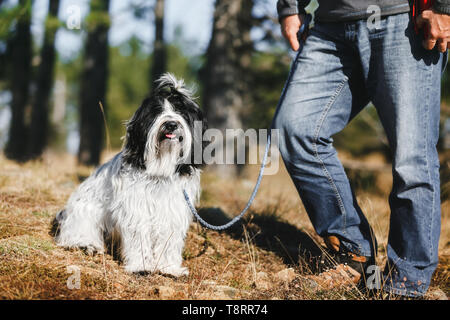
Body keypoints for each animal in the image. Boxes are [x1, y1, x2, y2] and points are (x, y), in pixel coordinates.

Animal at [54, 73, 207, 278]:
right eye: (156, 112)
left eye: (181, 112)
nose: (171, 124)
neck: (159, 171)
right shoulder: (137, 210)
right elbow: (138, 236)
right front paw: (141, 266)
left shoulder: (172, 211)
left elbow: (168, 240)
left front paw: (169, 268)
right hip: (86, 211)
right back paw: (86, 244)